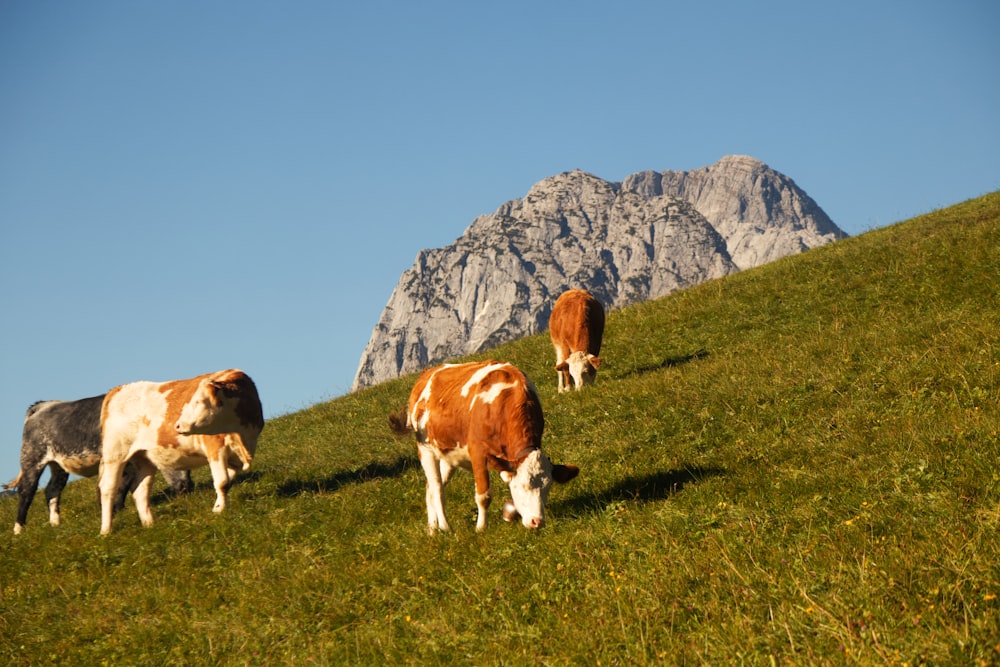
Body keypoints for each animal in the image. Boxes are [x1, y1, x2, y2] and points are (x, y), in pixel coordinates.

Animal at [4, 394, 191, 536]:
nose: (187, 487)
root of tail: (44, 404)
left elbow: (124, 485)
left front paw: (119, 510)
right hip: (32, 458)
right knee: (26, 491)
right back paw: (19, 529)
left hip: (59, 465)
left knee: (52, 489)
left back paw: (55, 523)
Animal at [95, 368, 262, 536]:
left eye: (198, 401)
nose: (178, 425)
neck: (242, 434)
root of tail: (116, 389)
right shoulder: (215, 447)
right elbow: (222, 481)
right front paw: (219, 510)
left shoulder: (236, 457)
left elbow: (228, 480)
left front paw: (218, 506)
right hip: (115, 454)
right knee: (108, 488)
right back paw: (106, 530)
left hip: (144, 458)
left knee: (140, 490)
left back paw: (150, 524)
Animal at [388, 362, 580, 536]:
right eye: (522, 486)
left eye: (548, 487)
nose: (537, 522)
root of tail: (426, 374)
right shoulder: (478, 453)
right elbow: (483, 495)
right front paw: (481, 528)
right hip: (425, 450)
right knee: (436, 488)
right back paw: (445, 526)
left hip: (448, 456)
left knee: (429, 488)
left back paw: (432, 529)